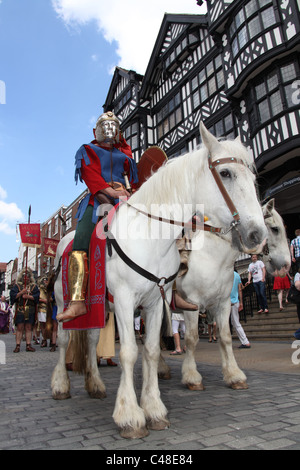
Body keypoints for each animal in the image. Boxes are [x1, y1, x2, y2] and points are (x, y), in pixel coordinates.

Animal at [51, 123, 268, 438]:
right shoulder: (129, 300)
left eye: (253, 177)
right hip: (64, 302)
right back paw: (60, 385)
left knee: (91, 339)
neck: (150, 235)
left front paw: (153, 409)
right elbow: (130, 352)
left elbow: (152, 350)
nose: (257, 235)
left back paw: (95, 384)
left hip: (101, 307)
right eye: (226, 173)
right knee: (63, 339)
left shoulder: (157, 301)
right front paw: (130, 415)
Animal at [159, 197, 290, 390]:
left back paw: (161, 369)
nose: (286, 265)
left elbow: (226, 336)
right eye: (275, 228)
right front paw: (192, 378)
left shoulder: (223, 304)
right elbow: (191, 338)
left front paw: (234, 376)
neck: (212, 259)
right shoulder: (192, 306)